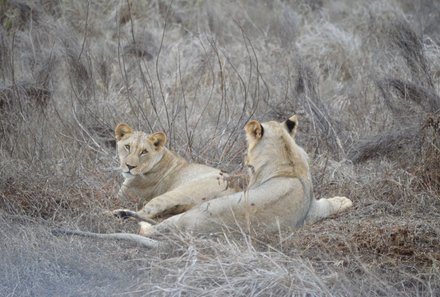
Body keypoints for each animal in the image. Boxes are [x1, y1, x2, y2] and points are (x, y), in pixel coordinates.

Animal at [136, 114, 352, 235]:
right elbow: (329, 205)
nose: (245, 156)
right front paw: (345, 200)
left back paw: (143, 225)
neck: (288, 160)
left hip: (191, 211)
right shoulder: (311, 210)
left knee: (151, 229)